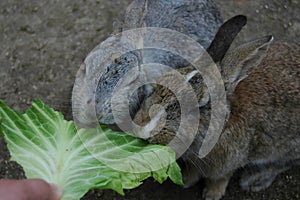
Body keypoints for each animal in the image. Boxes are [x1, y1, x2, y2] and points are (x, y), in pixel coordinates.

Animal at [134, 30, 300, 199]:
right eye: (158, 86)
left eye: (198, 108)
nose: (143, 129)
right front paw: (187, 180)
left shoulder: (230, 162)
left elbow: (221, 177)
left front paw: (212, 194)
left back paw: (254, 180)